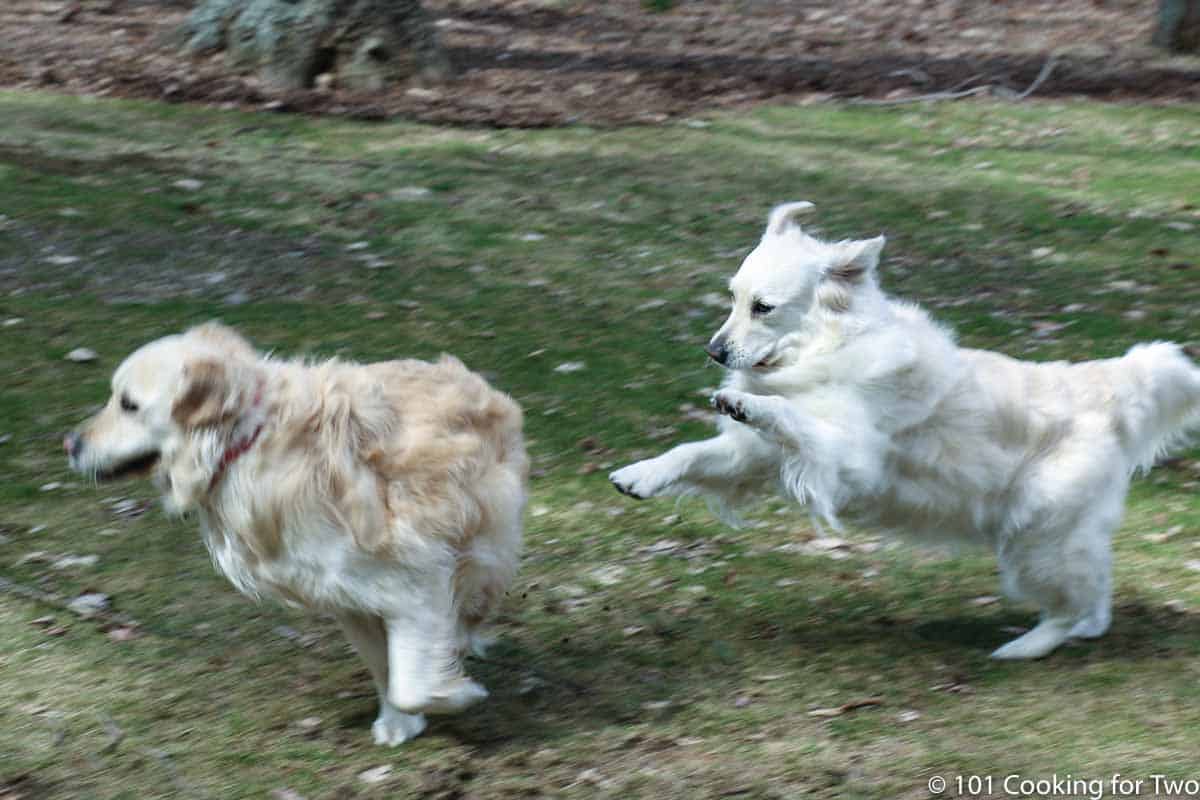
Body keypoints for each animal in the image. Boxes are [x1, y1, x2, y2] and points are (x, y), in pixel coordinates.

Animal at [65, 323, 525, 743]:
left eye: (128, 404)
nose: (69, 443)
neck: (245, 441)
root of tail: (470, 380)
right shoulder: (349, 595)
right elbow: (387, 668)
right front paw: (399, 721)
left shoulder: (415, 574)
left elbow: (411, 682)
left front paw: (454, 693)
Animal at [609, 203, 1200, 662]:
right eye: (732, 297)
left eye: (764, 307)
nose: (713, 351)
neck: (830, 348)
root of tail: (1106, 387)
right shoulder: (753, 457)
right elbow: (691, 452)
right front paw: (640, 474)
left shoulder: (847, 457)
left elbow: (789, 415)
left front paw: (747, 400)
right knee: (1094, 596)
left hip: (1038, 538)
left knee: (1074, 605)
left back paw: (1024, 647)